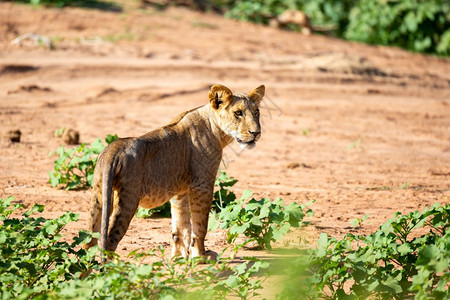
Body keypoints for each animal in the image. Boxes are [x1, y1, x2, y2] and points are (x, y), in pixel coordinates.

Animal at [83, 82, 264, 260]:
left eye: (256, 112)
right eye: (238, 113)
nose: (256, 133)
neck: (215, 128)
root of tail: (113, 151)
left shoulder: (180, 191)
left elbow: (181, 227)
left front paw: (179, 257)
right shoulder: (202, 184)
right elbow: (200, 224)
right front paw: (201, 256)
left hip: (98, 195)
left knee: (89, 240)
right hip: (128, 197)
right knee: (110, 240)